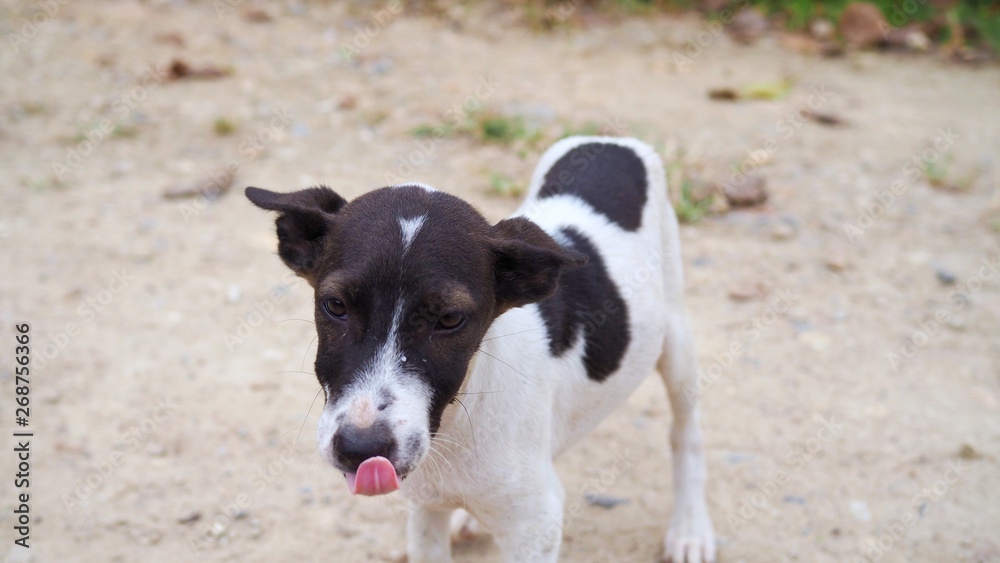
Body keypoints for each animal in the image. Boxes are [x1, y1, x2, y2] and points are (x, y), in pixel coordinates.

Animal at [250, 137, 720, 563]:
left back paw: (690, 528)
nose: (361, 449)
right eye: (335, 305)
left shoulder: (537, 527)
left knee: (687, 434)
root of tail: (612, 140)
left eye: (449, 319)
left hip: (677, 341)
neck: (458, 417)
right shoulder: (425, 508)